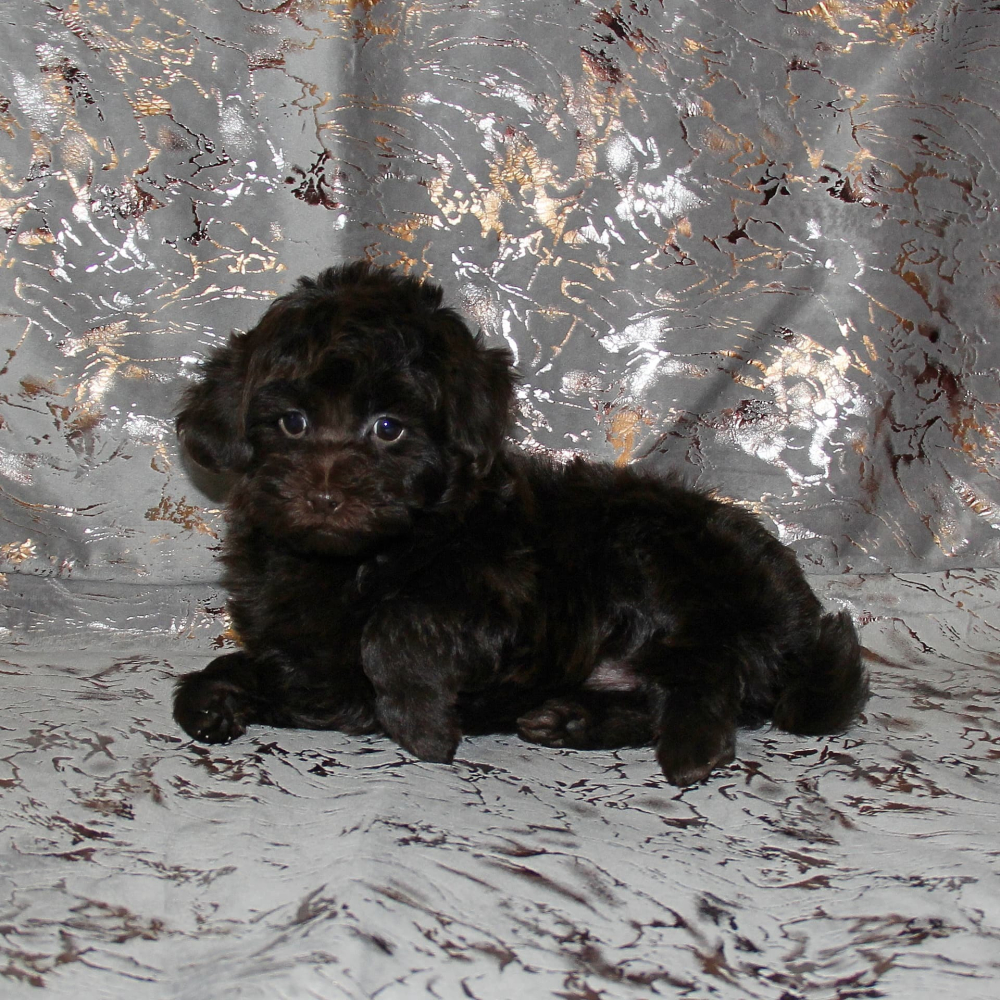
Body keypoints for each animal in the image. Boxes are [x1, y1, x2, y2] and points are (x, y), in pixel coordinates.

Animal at [172, 262, 869, 785]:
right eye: (292, 423)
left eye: (388, 428)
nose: (322, 496)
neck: (355, 561)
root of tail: (798, 620)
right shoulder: (304, 658)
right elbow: (279, 671)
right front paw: (211, 695)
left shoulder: (505, 592)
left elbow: (399, 622)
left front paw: (421, 723)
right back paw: (572, 720)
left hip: (659, 550)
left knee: (709, 666)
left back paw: (692, 746)